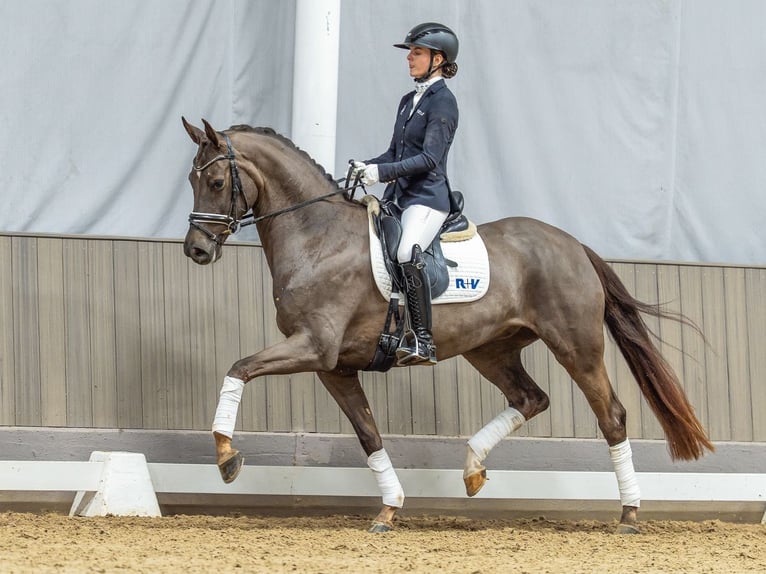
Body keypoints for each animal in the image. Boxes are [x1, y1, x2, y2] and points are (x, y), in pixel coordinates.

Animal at [180, 117, 714, 534]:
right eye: (191, 179)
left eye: (216, 183)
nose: (196, 251)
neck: (318, 238)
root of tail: (572, 244)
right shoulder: (334, 366)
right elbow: (369, 435)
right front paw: (389, 509)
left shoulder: (313, 347)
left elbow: (238, 368)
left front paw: (227, 457)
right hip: (491, 349)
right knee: (530, 398)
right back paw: (473, 467)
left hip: (576, 347)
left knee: (612, 417)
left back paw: (629, 515)